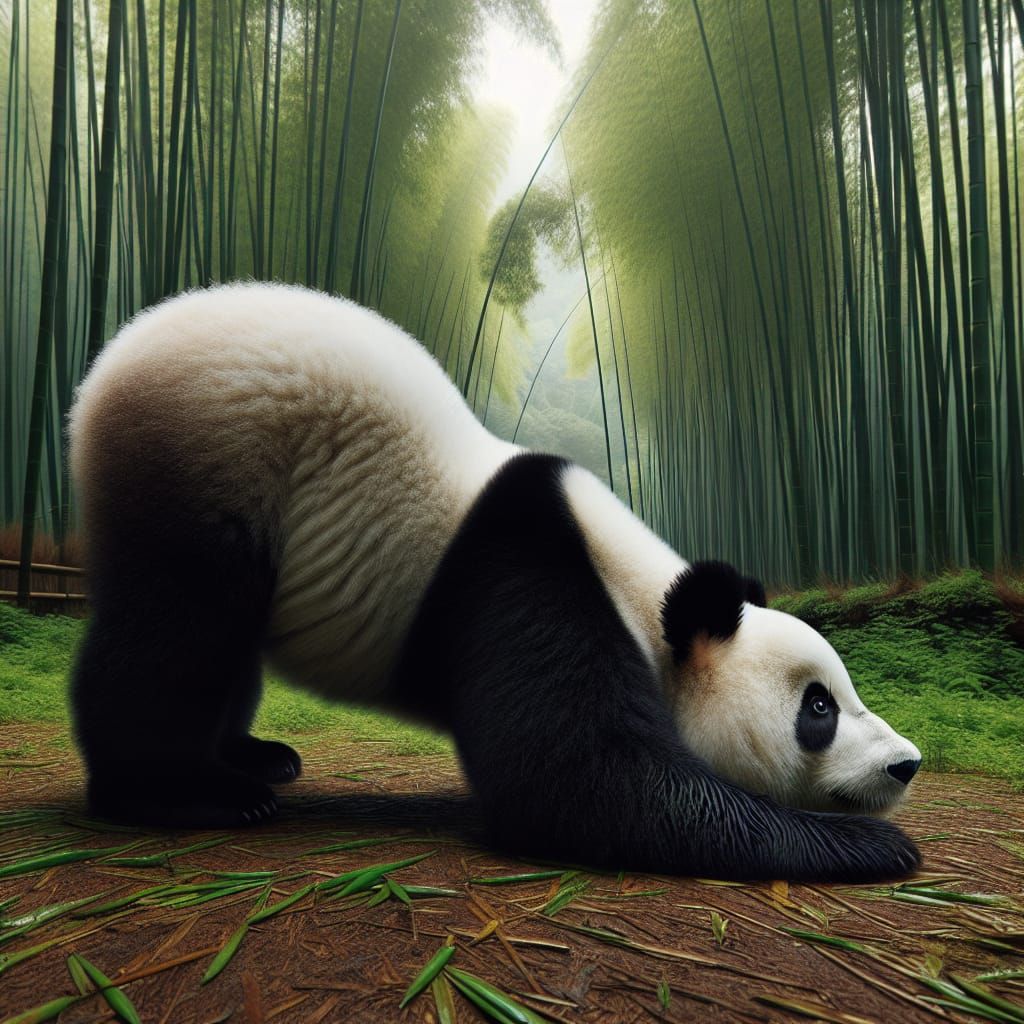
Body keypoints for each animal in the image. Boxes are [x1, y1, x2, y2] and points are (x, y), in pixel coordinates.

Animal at [69, 281, 922, 883]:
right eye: (818, 708)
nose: (905, 763)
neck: (641, 594)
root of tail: (101, 375)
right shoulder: (528, 577)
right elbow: (584, 784)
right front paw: (876, 842)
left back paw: (256, 756)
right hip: (206, 469)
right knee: (177, 634)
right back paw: (191, 791)